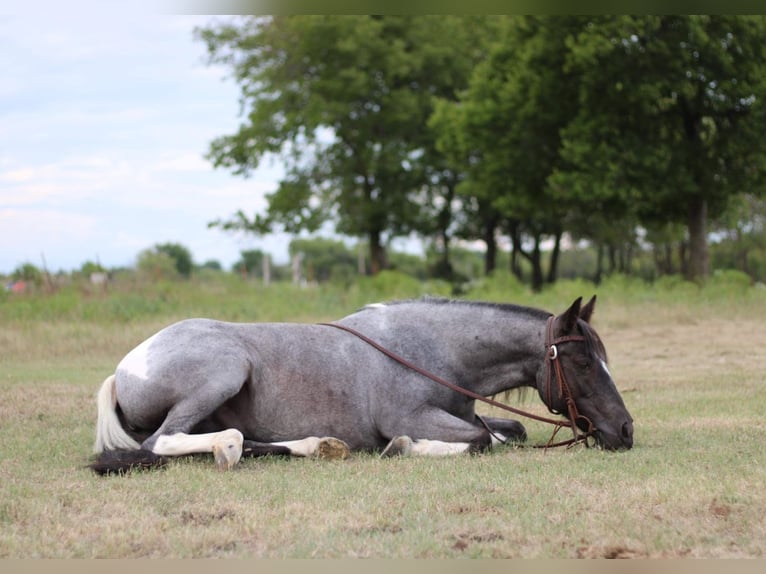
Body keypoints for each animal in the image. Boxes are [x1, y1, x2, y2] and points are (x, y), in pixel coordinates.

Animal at [88, 296, 636, 476]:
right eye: (582, 361)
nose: (627, 431)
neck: (436, 349)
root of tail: (124, 368)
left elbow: (506, 432)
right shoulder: (412, 416)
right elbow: (481, 440)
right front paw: (402, 447)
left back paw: (319, 445)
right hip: (225, 371)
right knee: (171, 442)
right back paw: (227, 448)